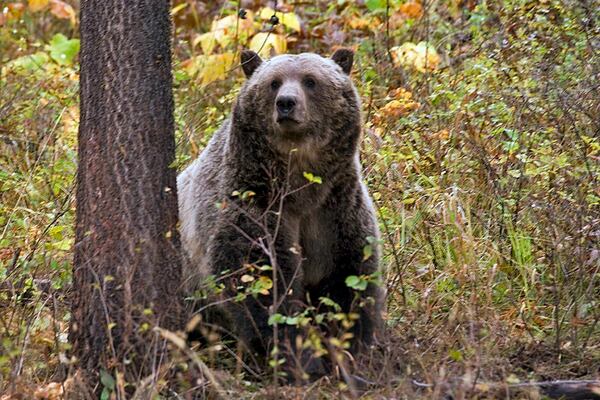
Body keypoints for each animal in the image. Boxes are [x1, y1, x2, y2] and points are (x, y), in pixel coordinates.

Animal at [178, 49, 384, 376]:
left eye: (310, 80)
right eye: (274, 82)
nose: (286, 103)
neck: (300, 185)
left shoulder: (335, 210)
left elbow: (349, 277)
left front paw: (348, 348)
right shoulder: (254, 203)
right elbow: (261, 281)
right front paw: (299, 358)